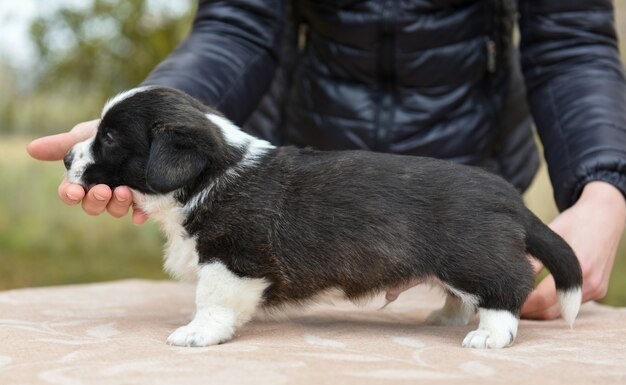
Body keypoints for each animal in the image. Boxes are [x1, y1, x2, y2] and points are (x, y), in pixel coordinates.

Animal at [63, 86, 580, 348]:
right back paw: (449, 317)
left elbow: (211, 302)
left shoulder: (231, 259)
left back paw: (489, 334)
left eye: (110, 137)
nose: (67, 157)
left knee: (508, 285)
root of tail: (511, 198)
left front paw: (197, 333)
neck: (212, 172)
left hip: (471, 255)